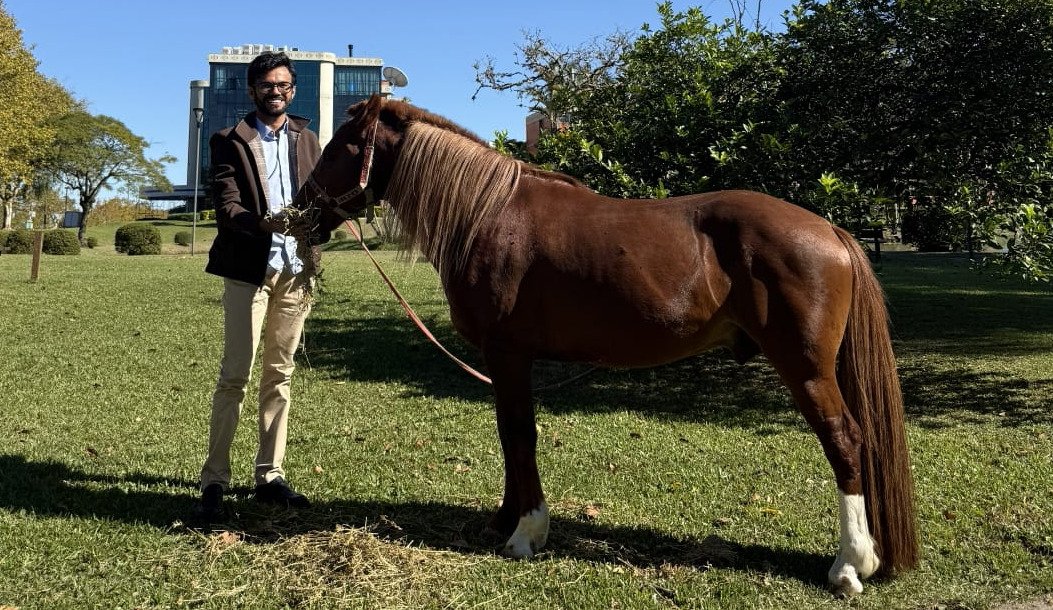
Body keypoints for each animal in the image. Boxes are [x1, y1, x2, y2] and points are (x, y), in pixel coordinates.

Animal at [290, 94, 919, 596]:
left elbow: (520, 435)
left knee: (846, 442)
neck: (489, 213)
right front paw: (505, 519)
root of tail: (830, 230)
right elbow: (508, 438)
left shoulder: (508, 354)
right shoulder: (504, 361)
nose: (301, 212)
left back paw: (849, 565)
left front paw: (527, 532)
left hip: (806, 368)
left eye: (344, 144)